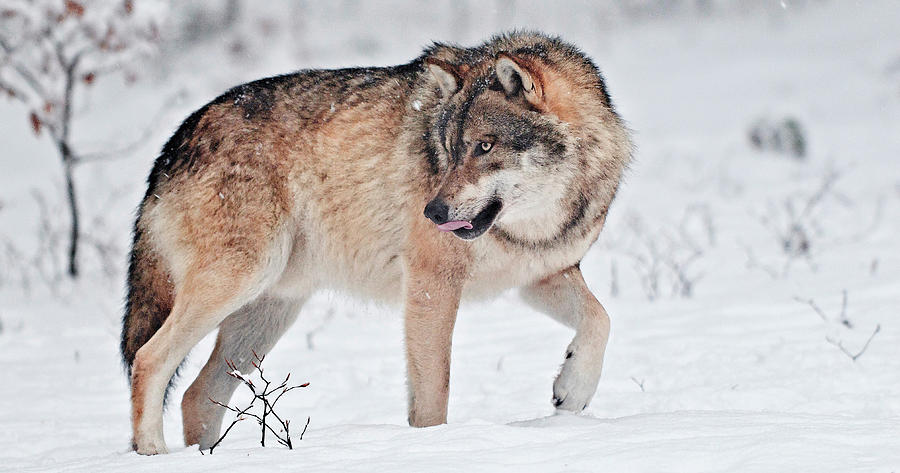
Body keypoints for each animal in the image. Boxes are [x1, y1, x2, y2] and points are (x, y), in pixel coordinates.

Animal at [121, 31, 631, 454]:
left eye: (484, 146)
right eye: (450, 150)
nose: (433, 213)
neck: (534, 224)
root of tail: (172, 145)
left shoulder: (540, 276)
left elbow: (601, 320)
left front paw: (573, 390)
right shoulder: (431, 284)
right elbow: (433, 394)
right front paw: (435, 447)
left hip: (264, 317)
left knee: (194, 395)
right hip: (240, 281)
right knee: (148, 360)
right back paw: (152, 454)